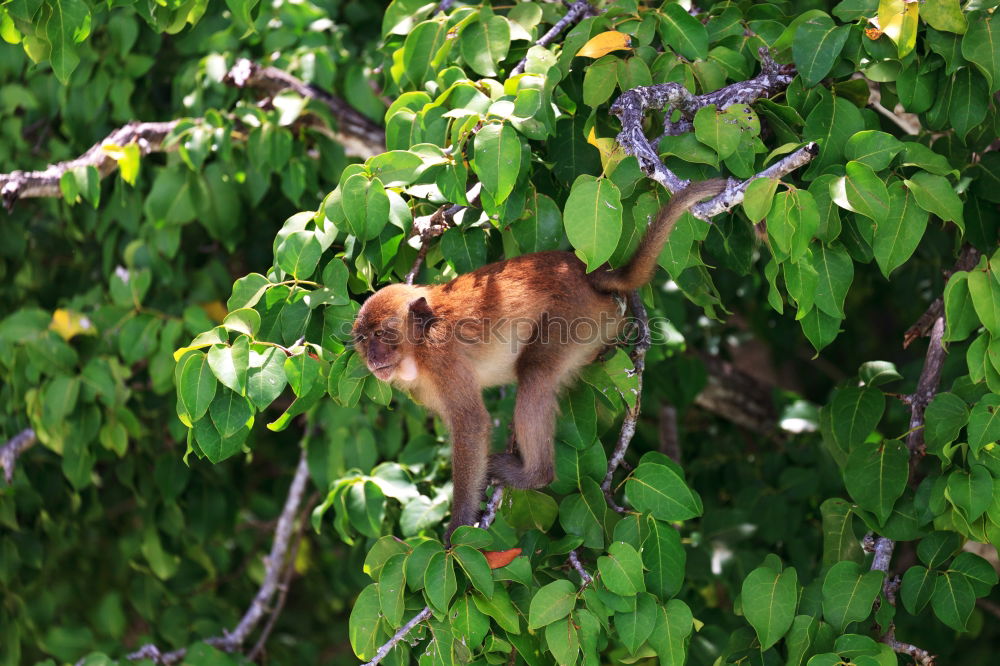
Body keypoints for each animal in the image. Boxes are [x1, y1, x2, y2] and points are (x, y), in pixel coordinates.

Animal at [354, 178, 728, 540]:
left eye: (382, 334)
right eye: (363, 338)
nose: (372, 357)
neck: (419, 346)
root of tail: (587, 273)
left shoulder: (440, 357)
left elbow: (471, 425)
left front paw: (456, 528)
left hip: (575, 315)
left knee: (533, 371)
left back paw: (535, 475)